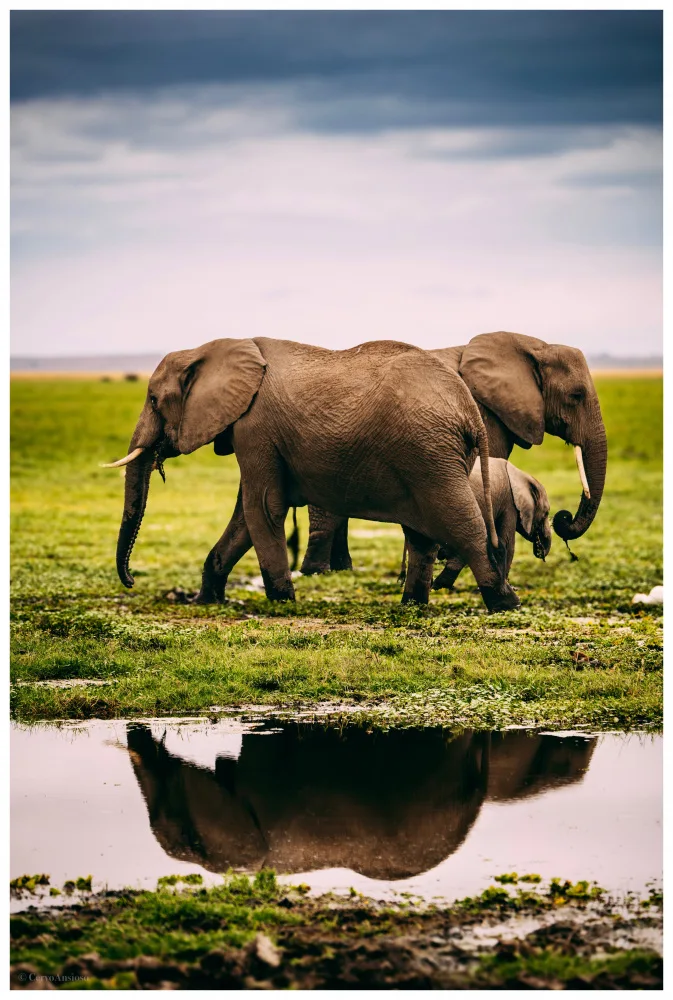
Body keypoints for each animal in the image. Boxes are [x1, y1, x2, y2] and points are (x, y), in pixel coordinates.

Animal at [103, 337, 520, 613]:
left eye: (153, 400)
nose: (131, 580)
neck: (214, 348)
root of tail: (469, 409)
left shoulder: (255, 426)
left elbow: (262, 507)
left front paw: (282, 602)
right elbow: (244, 517)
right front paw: (206, 601)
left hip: (429, 454)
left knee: (461, 521)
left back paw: (504, 603)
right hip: (428, 456)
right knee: (421, 534)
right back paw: (411, 605)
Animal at [299, 331, 607, 578]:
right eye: (576, 395)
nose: (564, 519)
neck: (533, 346)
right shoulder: (486, 414)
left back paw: (341, 569)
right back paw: (318, 572)